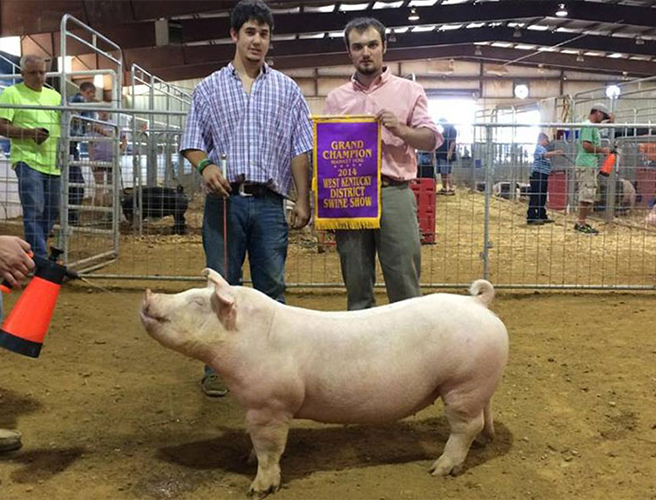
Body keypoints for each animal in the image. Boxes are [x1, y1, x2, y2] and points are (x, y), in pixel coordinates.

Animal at [140, 269, 509, 496]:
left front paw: (258, 489)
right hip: (478, 384)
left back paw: (439, 469)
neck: (249, 337)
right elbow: (255, 442)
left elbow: (270, 448)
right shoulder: (255, 407)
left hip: (463, 383)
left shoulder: (271, 404)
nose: (148, 294)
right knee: (481, 419)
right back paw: (483, 443)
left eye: (197, 302)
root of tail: (477, 301)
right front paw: (246, 458)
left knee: (465, 426)